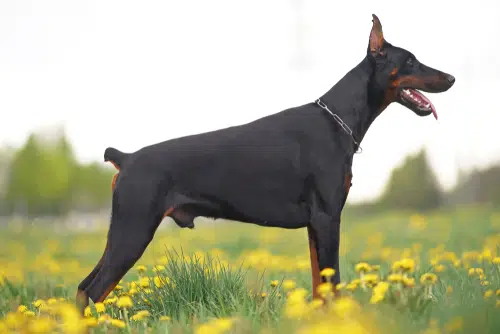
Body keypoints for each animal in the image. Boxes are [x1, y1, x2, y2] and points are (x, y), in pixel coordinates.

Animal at [75, 14, 454, 310]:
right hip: (134, 230)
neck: (339, 120)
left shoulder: (316, 224)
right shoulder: (327, 217)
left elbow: (320, 284)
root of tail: (126, 158)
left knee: (83, 288)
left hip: (122, 231)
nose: (451, 78)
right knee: (95, 290)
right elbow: (331, 281)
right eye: (409, 61)